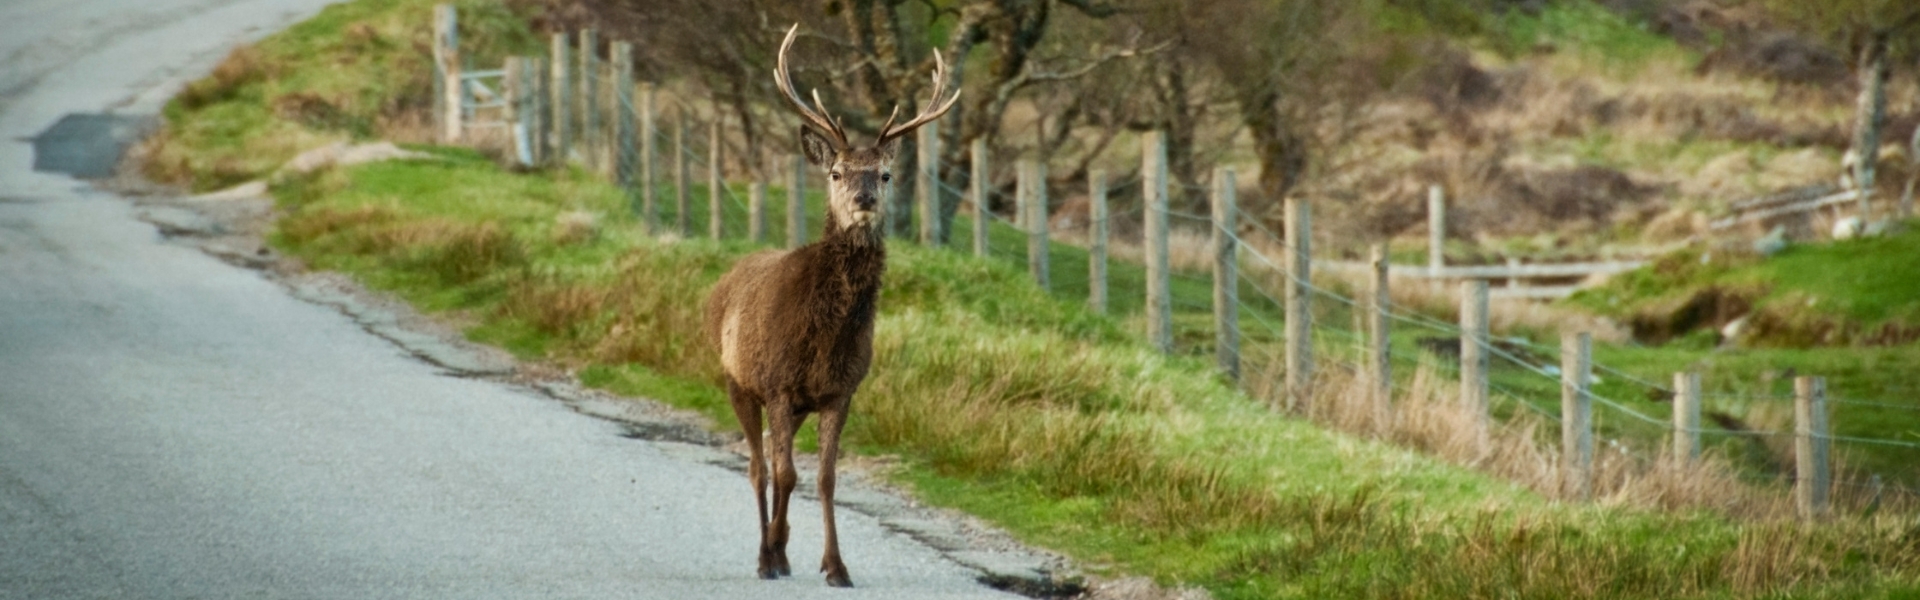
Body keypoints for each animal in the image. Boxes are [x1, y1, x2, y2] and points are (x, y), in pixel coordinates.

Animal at [702, 22, 960, 584]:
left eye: (884, 174)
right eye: (836, 173)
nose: (864, 200)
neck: (824, 335)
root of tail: (724, 280)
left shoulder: (840, 391)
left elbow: (823, 478)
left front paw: (835, 565)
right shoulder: (778, 384)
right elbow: (786, 473)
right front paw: (773, 555)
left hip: (792, 403)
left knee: (774, 464)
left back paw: (781, 548)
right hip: (737, 380)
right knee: (758, 468)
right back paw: (766, 553)